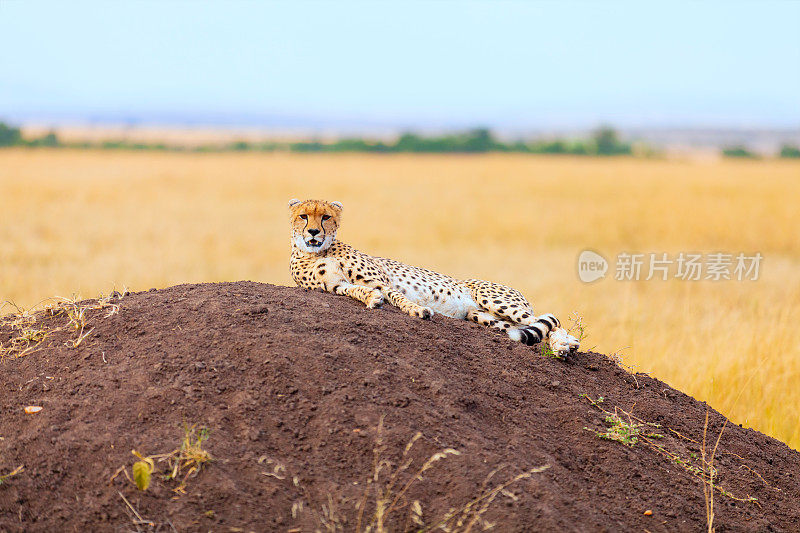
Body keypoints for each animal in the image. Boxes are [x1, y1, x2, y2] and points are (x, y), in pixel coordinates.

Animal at [288, 198, 580, 354]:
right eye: (303, 216)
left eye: (325, 217)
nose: (313, 232)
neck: (317, 251)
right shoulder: (337, 286)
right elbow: (358, 291)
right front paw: (372, 300)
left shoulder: (381, 281)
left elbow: (397, 297)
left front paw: (418, 310)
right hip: (485, 318)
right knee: (531, 328)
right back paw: (562, 345)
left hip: (496, 301)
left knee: (550, 321)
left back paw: (566, 345)